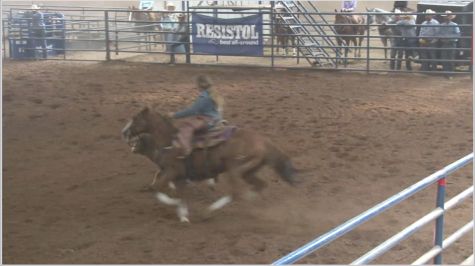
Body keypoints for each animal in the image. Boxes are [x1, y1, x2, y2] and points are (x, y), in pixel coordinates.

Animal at [121, 106, 296, 222]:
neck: (169, 142)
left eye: (135, 118)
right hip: (249, 171)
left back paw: (208, 212)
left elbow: (158, 189)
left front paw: (176, 206)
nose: (124, 132)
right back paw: (251, 200)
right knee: (260, 185)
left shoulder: (172, 172)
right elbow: (179, 194)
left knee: (236, 193)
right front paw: (183, 215)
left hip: (235, 169)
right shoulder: (179, 177)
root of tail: (265, 141)